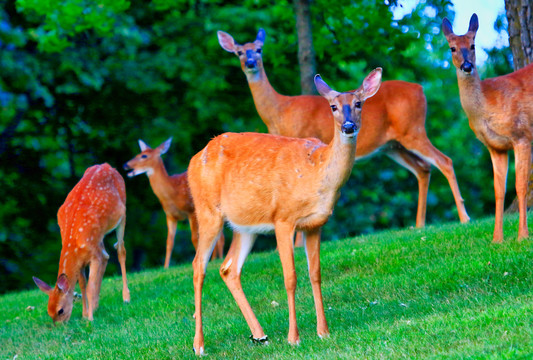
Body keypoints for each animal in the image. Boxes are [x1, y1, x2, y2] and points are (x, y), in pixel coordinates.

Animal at [33, 165, 130, 322]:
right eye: (49, 312)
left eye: (60, 310)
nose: (58, 325)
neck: (74, 244)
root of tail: (107, 165)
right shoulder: (82, 260)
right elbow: (83, 285)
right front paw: (85, 314)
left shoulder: (93, 255)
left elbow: (90, 287)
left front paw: (90, 319)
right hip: (99, 237)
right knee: (106, 256)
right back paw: (96, 305)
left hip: (122, 215)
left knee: (120, 250)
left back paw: (126, 297)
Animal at [122, 138, 222, 268]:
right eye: (138, 154)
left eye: (144, 156)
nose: (125, 165)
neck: (172, 192)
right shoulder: (170, 215)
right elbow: (169, 242)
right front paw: (166, 266)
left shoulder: (190, 210)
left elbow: (194, 238)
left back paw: (217, 259)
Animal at [187, 68, 382, 354]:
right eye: (333, 106)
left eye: (359, 104)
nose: (348, 126)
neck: (318, 172)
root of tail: (193, 161)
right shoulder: (283, 218)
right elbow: (290, 277)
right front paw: (294, 337)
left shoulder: (315, 224)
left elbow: (316, 274)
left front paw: (323, 332)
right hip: (207, 210)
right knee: (198, 266)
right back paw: (199, 345)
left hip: (245, 225)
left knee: (228, 268)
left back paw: (259, 335)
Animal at [217, 27, 470, 231]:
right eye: (239, 52)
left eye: (259, 50)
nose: (250, 63)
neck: (280, 110)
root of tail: (421, 89)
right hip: (392, 146)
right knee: (423, 168)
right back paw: (419, 225)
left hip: (413, 130)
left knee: (444, 161)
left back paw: (464, 218)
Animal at [440, 14, 532, 245]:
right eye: (452, 48)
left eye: (473, 45)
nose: (467, 66)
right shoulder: (495, 146)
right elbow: (499, 190)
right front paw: (496, 239)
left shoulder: (522, 134)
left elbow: (520, 185)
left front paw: (522, 236)